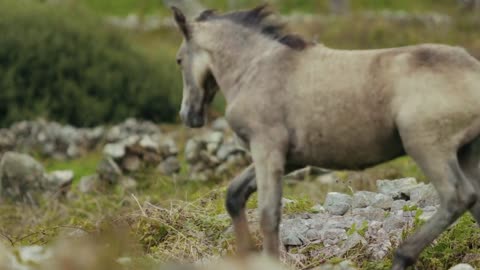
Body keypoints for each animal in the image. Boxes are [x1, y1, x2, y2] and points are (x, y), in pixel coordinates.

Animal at [171, 4, 480, 270]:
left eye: (178, 60)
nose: (188, 115)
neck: (254, 69)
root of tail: (472, 69)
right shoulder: (291, 159)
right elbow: (235, 194)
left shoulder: (267, 148)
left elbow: (269, 215)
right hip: (466, 151)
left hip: (427, 146)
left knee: (457, 197)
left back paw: (402, 257)